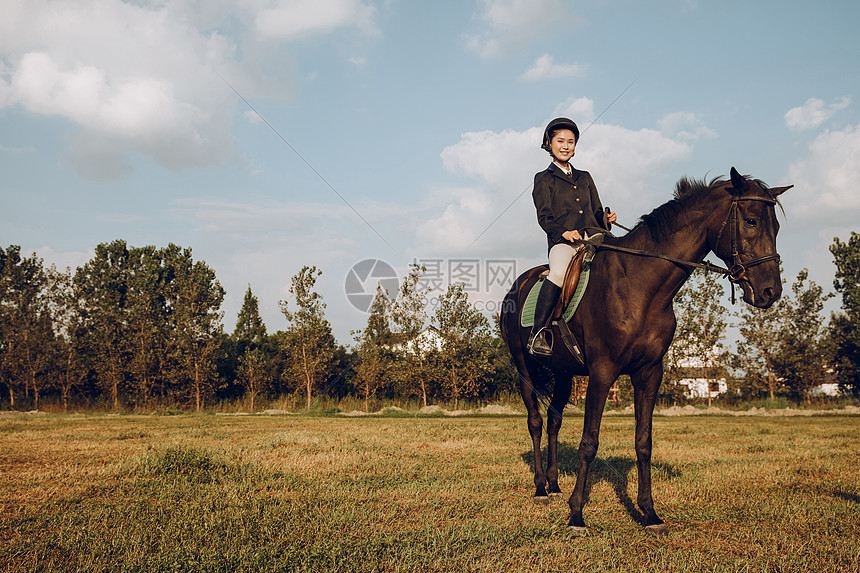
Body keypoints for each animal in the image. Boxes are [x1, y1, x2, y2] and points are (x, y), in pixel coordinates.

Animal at [498, 168, 792, 536]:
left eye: (776, 226)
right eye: (751, 220)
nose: (770, 291)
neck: (640, 285)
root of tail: (519, 283)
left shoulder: (649, 372)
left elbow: (644, 442)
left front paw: (650, 514)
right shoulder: (602, 372)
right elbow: (589, 443)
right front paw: (577, 516)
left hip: (564, 372)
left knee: (553, 421)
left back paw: (553, 485)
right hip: (524, 366)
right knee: (536, 422)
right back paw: (540, 488)